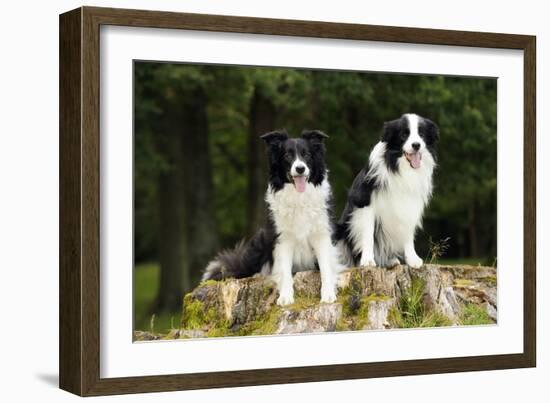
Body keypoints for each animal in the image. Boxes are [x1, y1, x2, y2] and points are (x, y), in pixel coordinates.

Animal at [203, 131, 340, 304]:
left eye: (307, 155)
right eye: (287, 156)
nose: (300, 168)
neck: (298, 196)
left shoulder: (321, 235)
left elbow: (325, 267)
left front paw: (328, 294)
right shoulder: (282, 239)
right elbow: (285, 271)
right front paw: (286, 297)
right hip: (260, 244)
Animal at [336, 113, 440, 270]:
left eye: (421, 134)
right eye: (404, 135)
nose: (416, 145)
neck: (399, 167)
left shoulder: (410, 204)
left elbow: (408, 233)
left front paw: (412, 259)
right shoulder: (366, 204)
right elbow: (368, 234)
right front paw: (367, 260)